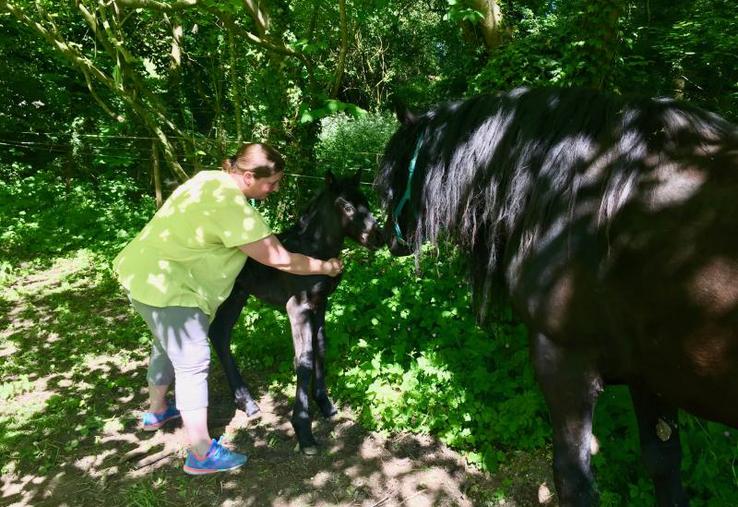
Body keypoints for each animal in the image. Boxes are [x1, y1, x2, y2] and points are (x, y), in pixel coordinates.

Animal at [208, 171, 384, 455]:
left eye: (366, 202)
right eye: (346, 206)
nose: (378, 238)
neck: (312, 253)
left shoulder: (320, 304)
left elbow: (320, 348)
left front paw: (325, 404)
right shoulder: (297, 308)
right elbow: (303, 359)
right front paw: (303, 430)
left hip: (238, 296)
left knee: (219, 334)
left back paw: (247, 402)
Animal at [374, 87, 738, 506]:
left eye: (396, 174)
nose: (384, 237)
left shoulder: (564, 364)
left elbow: (572, 478)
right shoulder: (651, 376)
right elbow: (663, 462)